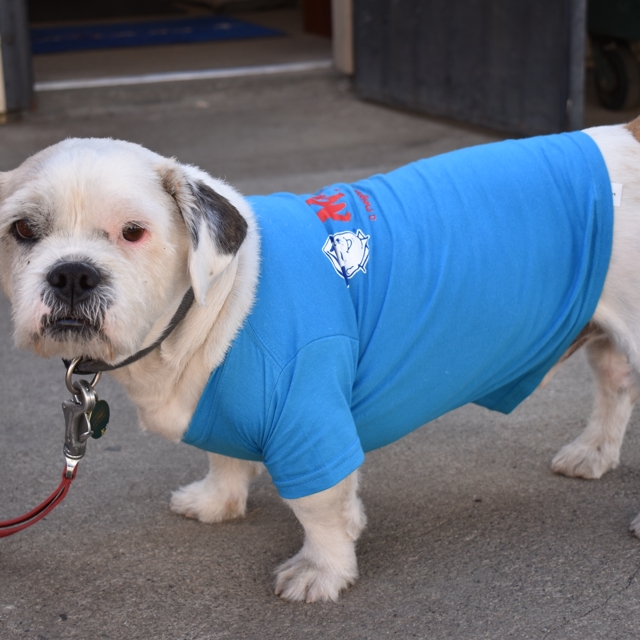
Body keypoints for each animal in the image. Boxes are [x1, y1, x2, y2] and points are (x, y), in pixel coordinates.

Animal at [3, 121, 640, 604]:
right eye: (23, 229)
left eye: (133, 232)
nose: (72, 273)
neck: (218, 297)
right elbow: (226, 456)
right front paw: (218, 500)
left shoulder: (308, 420)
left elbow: (318, 506)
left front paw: (323, 569)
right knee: (614, 383)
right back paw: (594, 451)